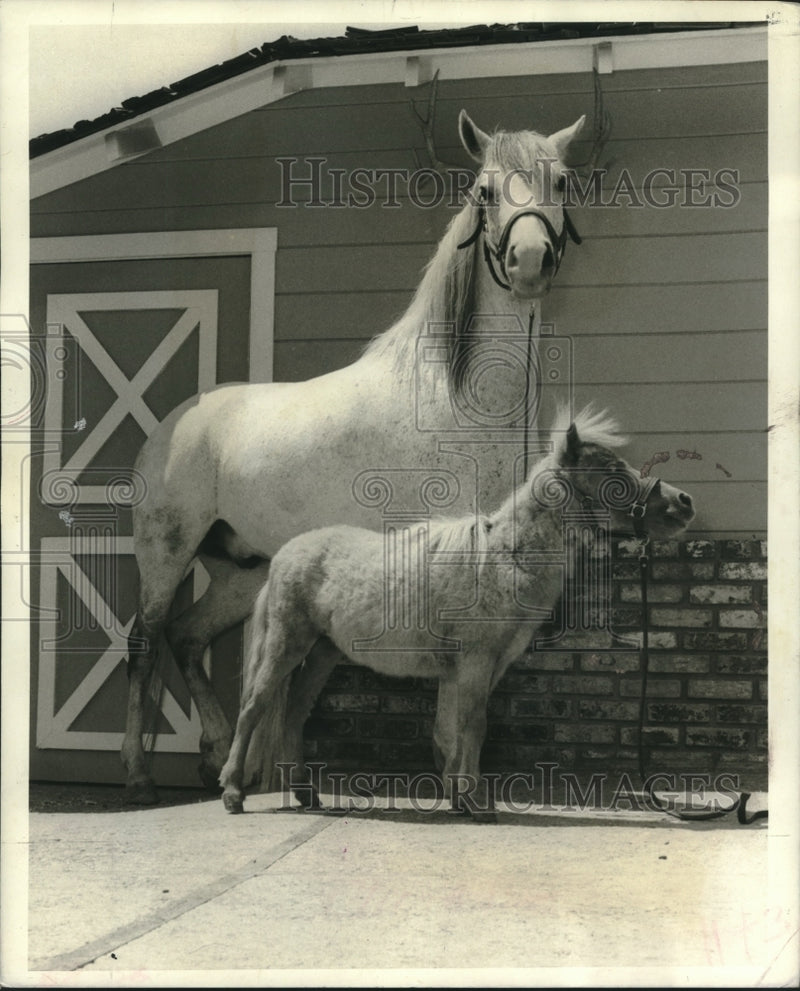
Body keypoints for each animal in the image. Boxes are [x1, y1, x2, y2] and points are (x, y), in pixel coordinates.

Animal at [123, 109, 588, 804]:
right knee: (145, 642)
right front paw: (452, 784)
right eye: (484, 191)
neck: (454, 395)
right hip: (166, 553)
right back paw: (139, 775)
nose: (529, 259)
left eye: (559, 181)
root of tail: (177, 423)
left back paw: (215, 758)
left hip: (244, 571)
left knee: (187, 638)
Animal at [219, 407, 696, 816]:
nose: (684, 502)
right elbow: (473, 724)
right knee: (256, 706)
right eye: (612, 471)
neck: (504, 560)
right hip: (288, 643)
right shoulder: (476, 662)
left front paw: (458, 794)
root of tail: (285, 555)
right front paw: (475, 800)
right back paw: (233, 792)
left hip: (323, 651)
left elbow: (456, 727)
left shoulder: (478, 667)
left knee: (294, 711)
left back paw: (304, 793)